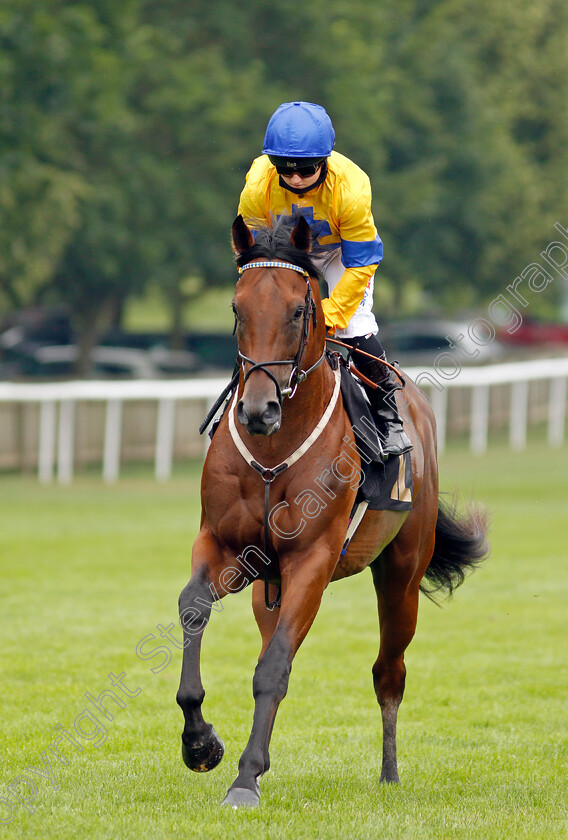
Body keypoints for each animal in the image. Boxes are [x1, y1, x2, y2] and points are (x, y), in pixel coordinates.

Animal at [176, 215, 488, 808]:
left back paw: (389, 773)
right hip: (267, 588)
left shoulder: (312, 559)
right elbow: (193, 611)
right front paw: (201, 743)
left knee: (388, 671)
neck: (273, 451)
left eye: (299, 312)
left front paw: (245, 779)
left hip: (401, 575)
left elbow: (273, 666)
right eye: (237, 308)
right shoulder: (224, 547)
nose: (257, 410)